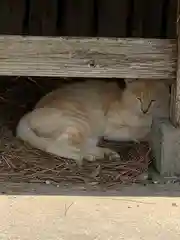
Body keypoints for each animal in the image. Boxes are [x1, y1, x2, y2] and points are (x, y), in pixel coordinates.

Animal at [16, 79, 169, 165]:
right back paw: (85, 156)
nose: (145, 109)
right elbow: (137, 130)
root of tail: (28, 114)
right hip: (80, 123)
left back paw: (104, 154)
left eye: (153, 100)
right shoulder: (111, 127)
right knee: (55, 146)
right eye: (139, 98)